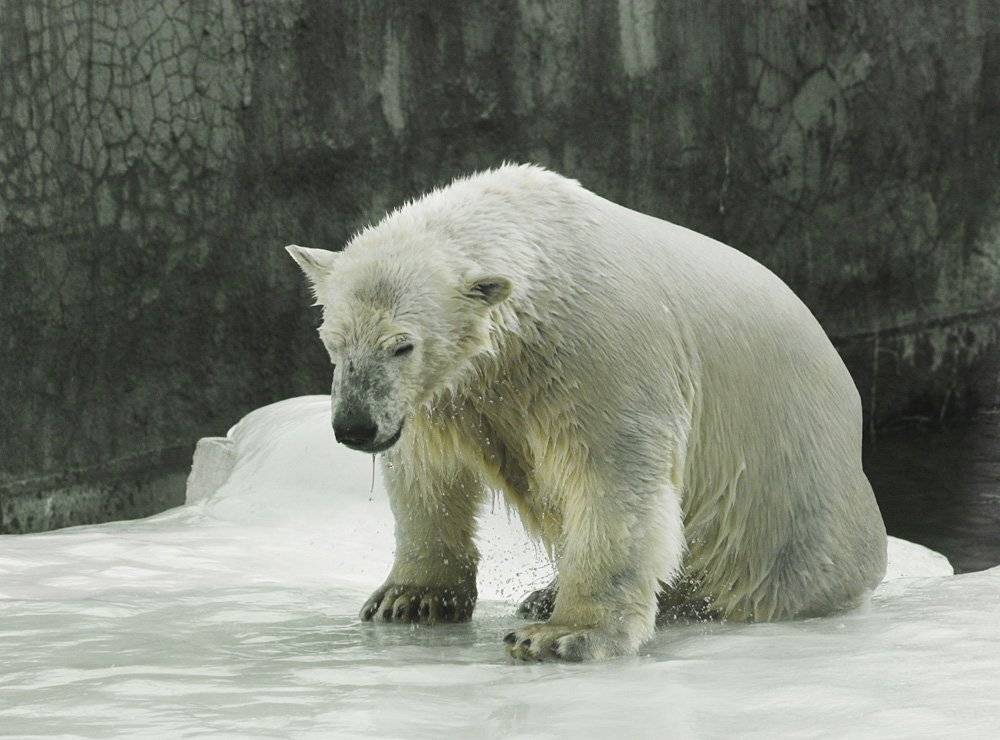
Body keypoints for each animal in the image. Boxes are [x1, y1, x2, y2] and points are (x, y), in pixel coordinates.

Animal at [285, 163, 887, 662]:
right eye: (332, 341)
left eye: (402, 345)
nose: (355, 427)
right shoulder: (452, 393)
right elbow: (427, 473)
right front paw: (410, 598)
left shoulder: (596, 352)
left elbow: (614, 480)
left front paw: (563, 634)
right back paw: (541, 592)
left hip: (786, 497)